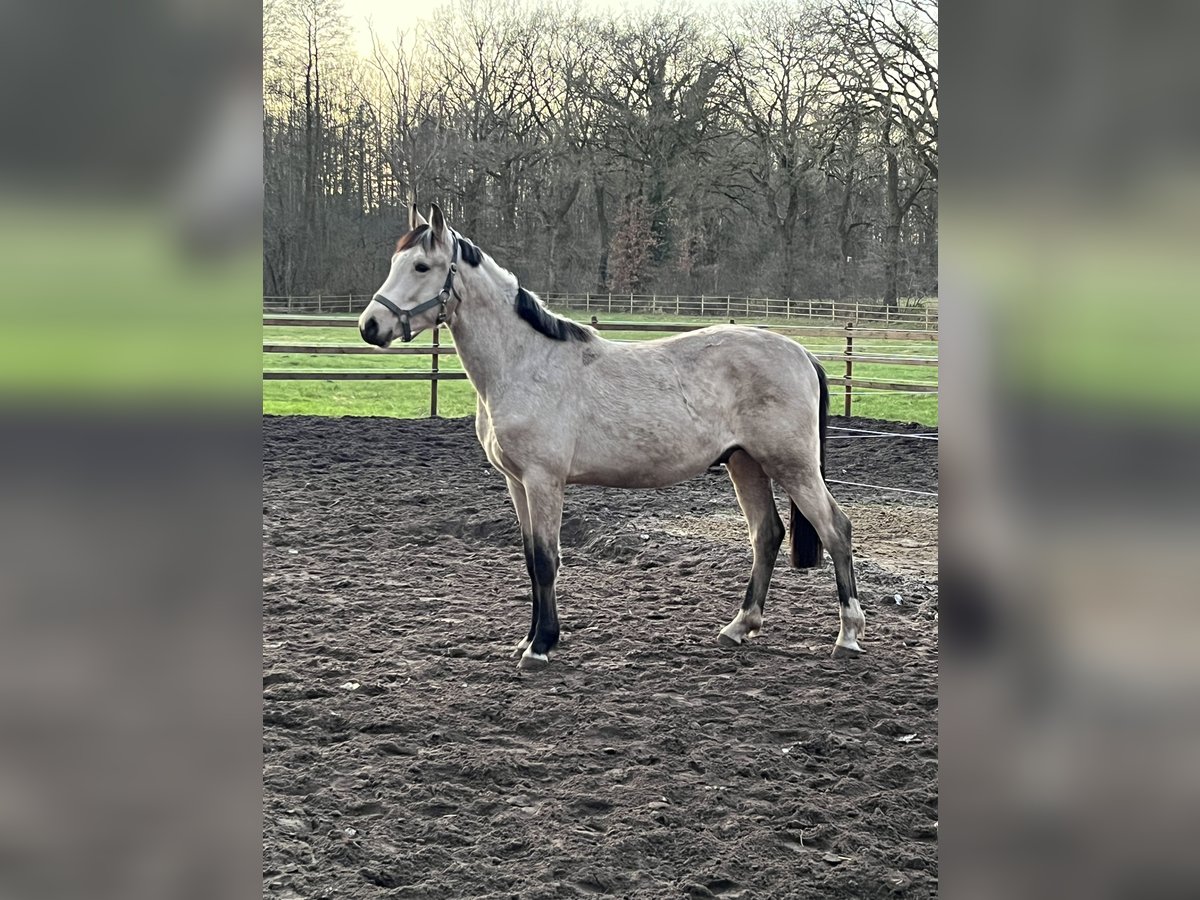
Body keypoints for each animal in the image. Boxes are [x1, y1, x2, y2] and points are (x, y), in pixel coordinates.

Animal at [355, 204, 864, 672]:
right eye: (396, 262)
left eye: (422, 267)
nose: (369, 326)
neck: (525, 362)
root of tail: (801, 353)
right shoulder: (517, 483)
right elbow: (530, 559)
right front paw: (529, 640)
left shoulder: (543, 481)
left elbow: (547, 560)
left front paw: (541, 647)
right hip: (746, 463)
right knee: (767, 534)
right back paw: (739, 626)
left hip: (792, 465)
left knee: (835, 528)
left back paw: (848, 635)